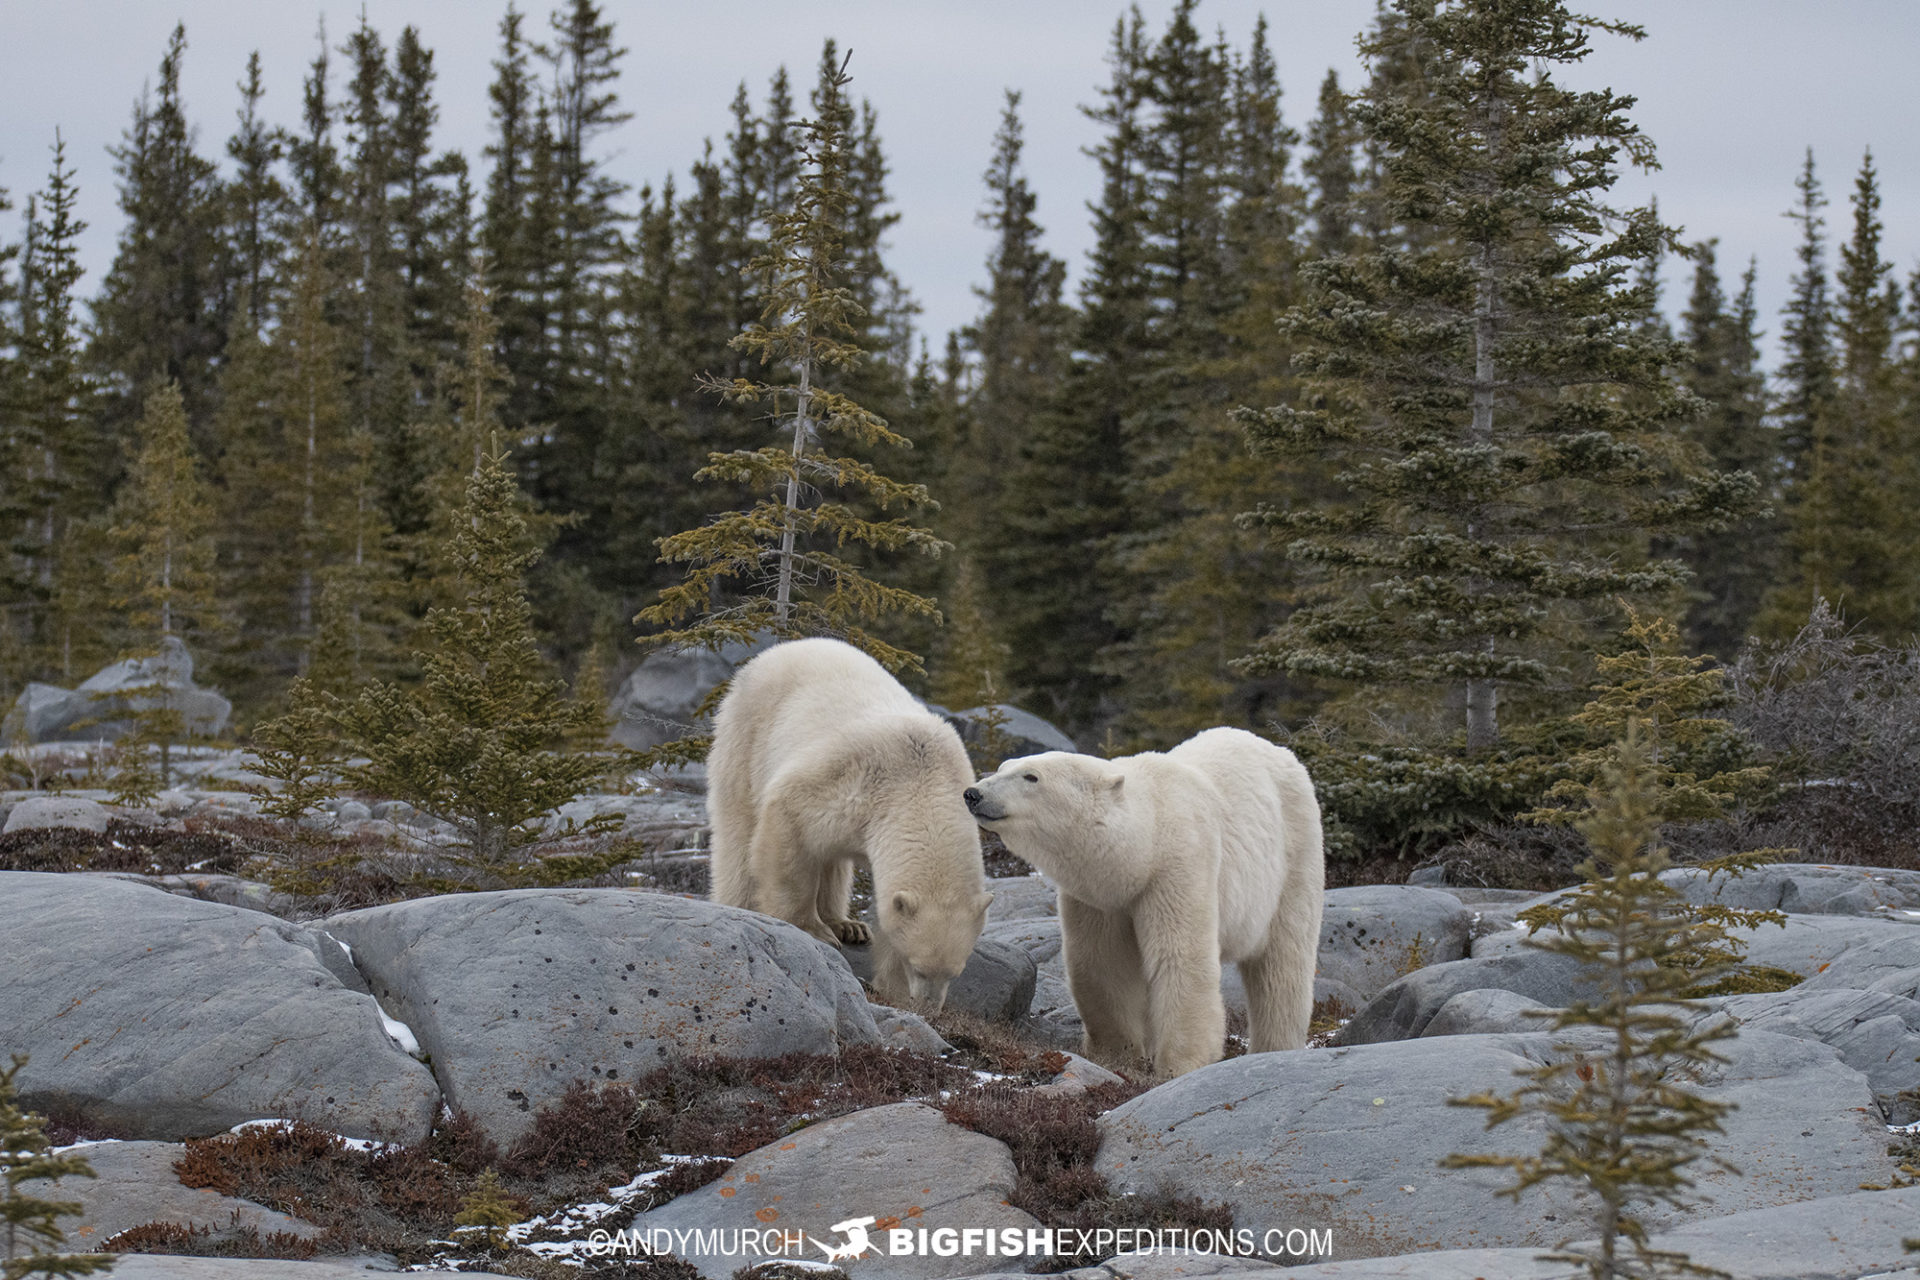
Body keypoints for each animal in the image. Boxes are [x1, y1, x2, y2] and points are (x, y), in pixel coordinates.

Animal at [707, 637, 993, 1009]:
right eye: (918, 966)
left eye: (955, 972)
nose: (928, 1006)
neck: (922, 778)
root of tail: (780, 649)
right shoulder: (851, 779)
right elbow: (789, 825)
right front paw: (813, 931)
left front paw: (890, 986)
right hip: (748, 735)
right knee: (738, 827)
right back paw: (740, 905)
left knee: (832, 859)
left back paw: (848, 925)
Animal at [964, 726, 1324, 1077]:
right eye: (1002, 767)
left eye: (1032, 776)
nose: (973, 793)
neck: (1148, 839)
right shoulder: (1100, 895)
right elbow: (1102, 962)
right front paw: (1115, 1053)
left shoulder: (1178, 866)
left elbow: (1179, 958)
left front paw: (1179, 1065)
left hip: (1294, 855)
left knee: (1282, 963)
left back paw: (1273, 1047)